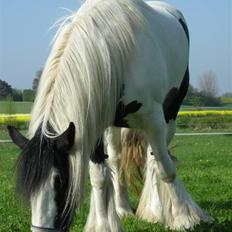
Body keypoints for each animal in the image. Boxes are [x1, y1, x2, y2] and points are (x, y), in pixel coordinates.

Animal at [6, 0, 210, 232]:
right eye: (28, 187)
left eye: (59, 181)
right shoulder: (90, 124)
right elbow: (99, 177)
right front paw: (104, 224)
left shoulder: (154, 119)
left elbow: (166, 169)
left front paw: (182, 217)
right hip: (113, 127)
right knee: (117, 160)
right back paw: (123, 208)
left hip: (171, 114)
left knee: (155, 158)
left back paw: (156, 210)